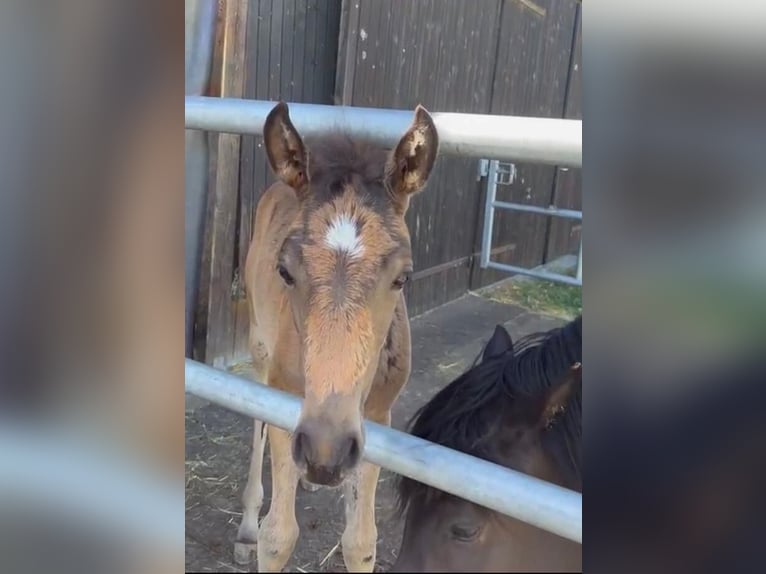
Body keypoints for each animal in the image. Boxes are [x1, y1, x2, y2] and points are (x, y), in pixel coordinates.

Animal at [237, 101, 440, 572]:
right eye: (284, 270)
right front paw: (262, 531)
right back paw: (249, 524)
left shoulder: (376, 419)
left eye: (403, 277)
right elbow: (278, 537)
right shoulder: (284, 395)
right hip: (259, 347)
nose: (324, 451)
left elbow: (361, 542)